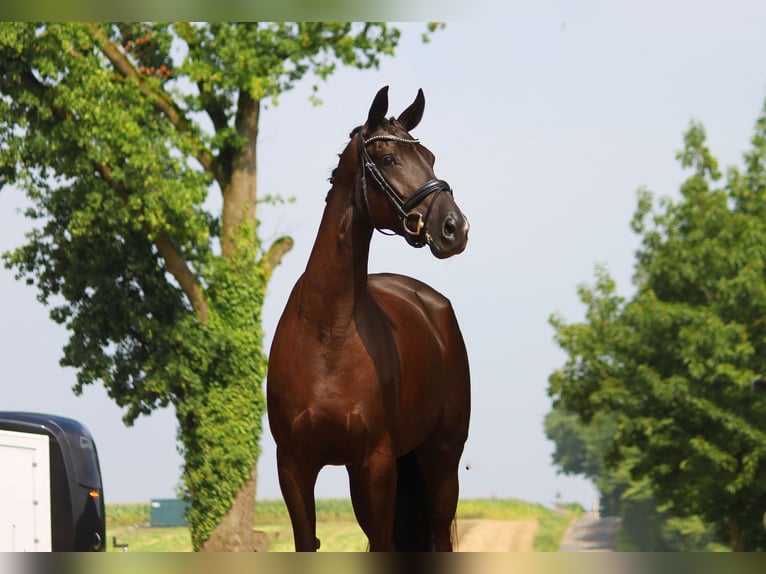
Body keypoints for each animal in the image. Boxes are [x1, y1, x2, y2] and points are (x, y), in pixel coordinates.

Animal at [270, 86, 474, 552]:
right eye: (388, 159)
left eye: (430, 157)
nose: (454, 228)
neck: (327, 331)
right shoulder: (293, 466)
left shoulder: (375, 464)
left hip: (441, 458)